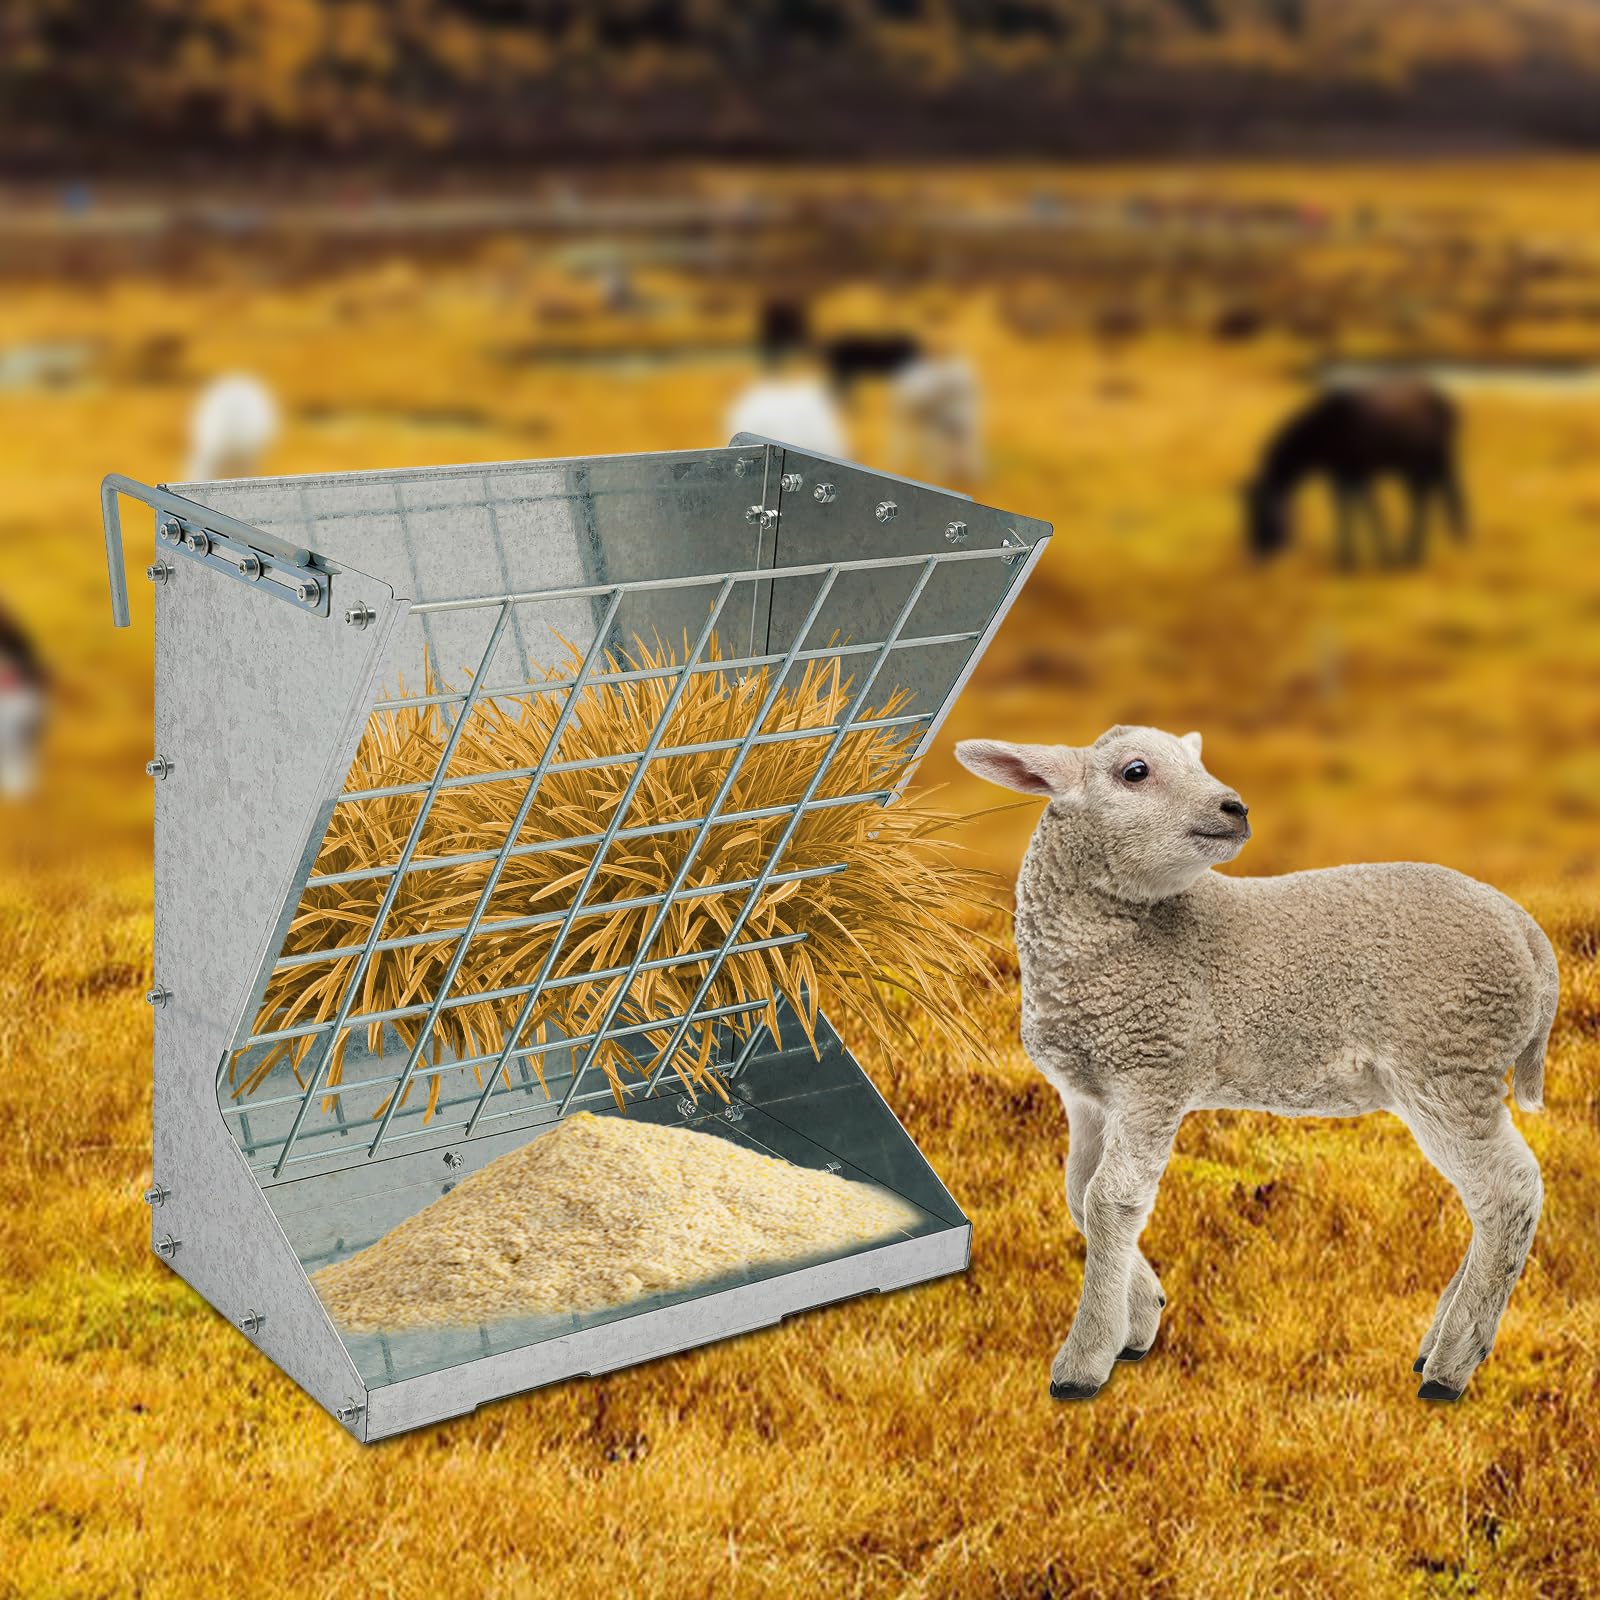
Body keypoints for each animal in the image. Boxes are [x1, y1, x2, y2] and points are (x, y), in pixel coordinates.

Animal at [956, 725, 1555, 1405]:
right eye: (1135, 771)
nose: (1234, 807)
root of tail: (1527, 931)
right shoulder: (1089, 1094)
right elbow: (1080, 1196)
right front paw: (1142, 1313)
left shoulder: (1154, 1071)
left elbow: (1112, 1201)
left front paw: (1084, 1359)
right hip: (1452, 1066)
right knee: (1495, 1199)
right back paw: (1442, 1343)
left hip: (1449, 1059)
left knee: (1510, 1190)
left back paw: (1451, 1366)